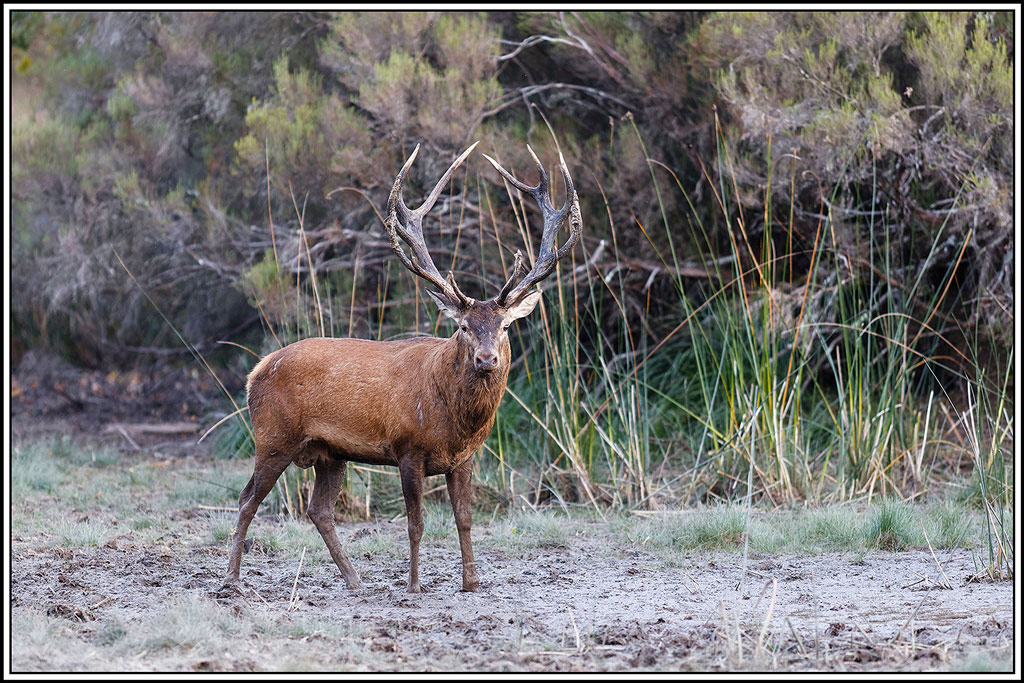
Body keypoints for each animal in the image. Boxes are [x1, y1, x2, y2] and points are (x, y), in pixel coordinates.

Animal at [223, 142, 581, 593]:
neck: (456, 422)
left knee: (318, 509)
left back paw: (355, 580)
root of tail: (256, 371)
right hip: (273, 435)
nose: (486, 359)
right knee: (247, 498)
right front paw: (413, 585)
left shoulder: (466, 458)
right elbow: (415, 524)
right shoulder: (407, 448)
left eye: (505, 326)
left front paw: (471, 582)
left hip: (328, 452)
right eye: (463, 326)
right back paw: (232, 579)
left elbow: (465, 519)